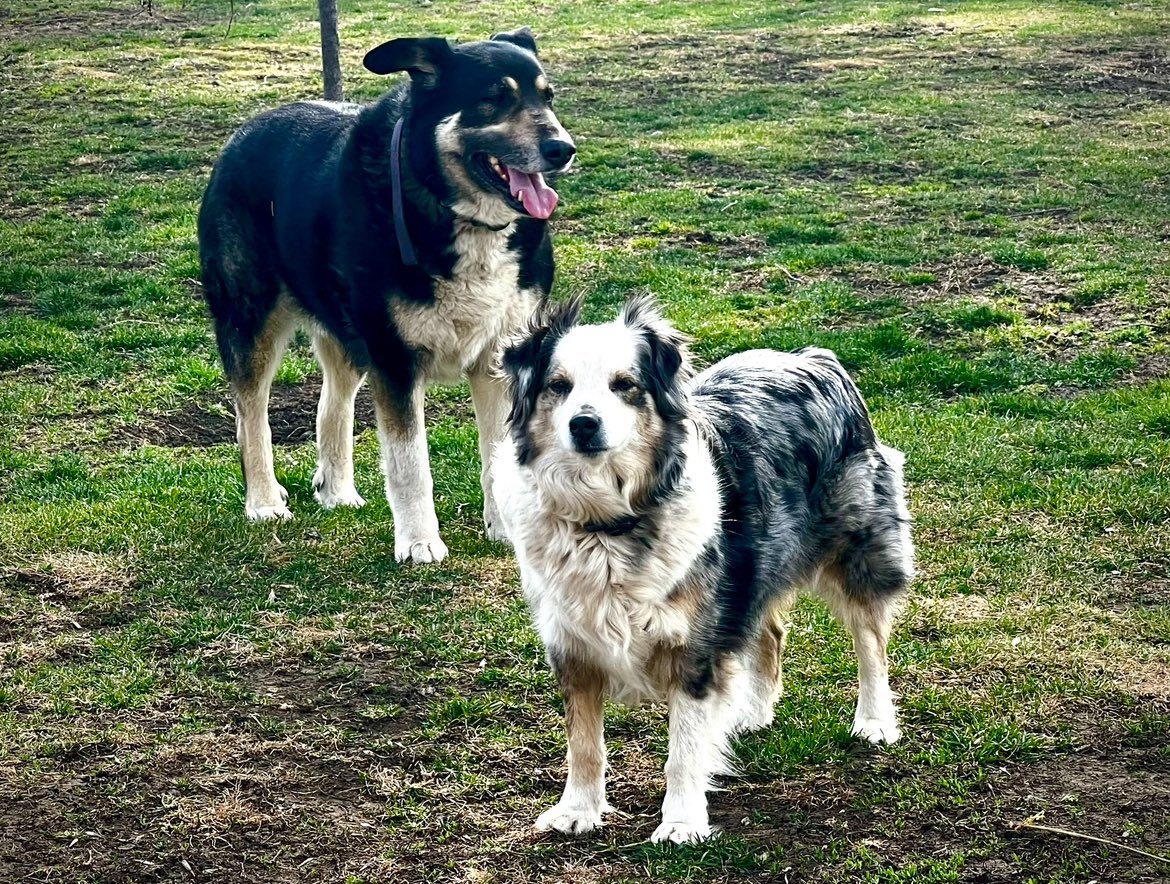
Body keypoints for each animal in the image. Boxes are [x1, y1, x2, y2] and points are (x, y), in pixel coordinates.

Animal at [198, 31, 573, 563]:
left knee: (331, 405)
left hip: (350, 339)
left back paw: (336, 491)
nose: (563, 148)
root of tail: (244, 131)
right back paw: (264, 500)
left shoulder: (498, 360)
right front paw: (419, 542)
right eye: (494, 99)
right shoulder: (395, 361)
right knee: (251, 415)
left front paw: (506, 530)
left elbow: (498, 455)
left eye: (548, 97)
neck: (450, 209)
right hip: (251, 320)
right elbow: (409, 462)